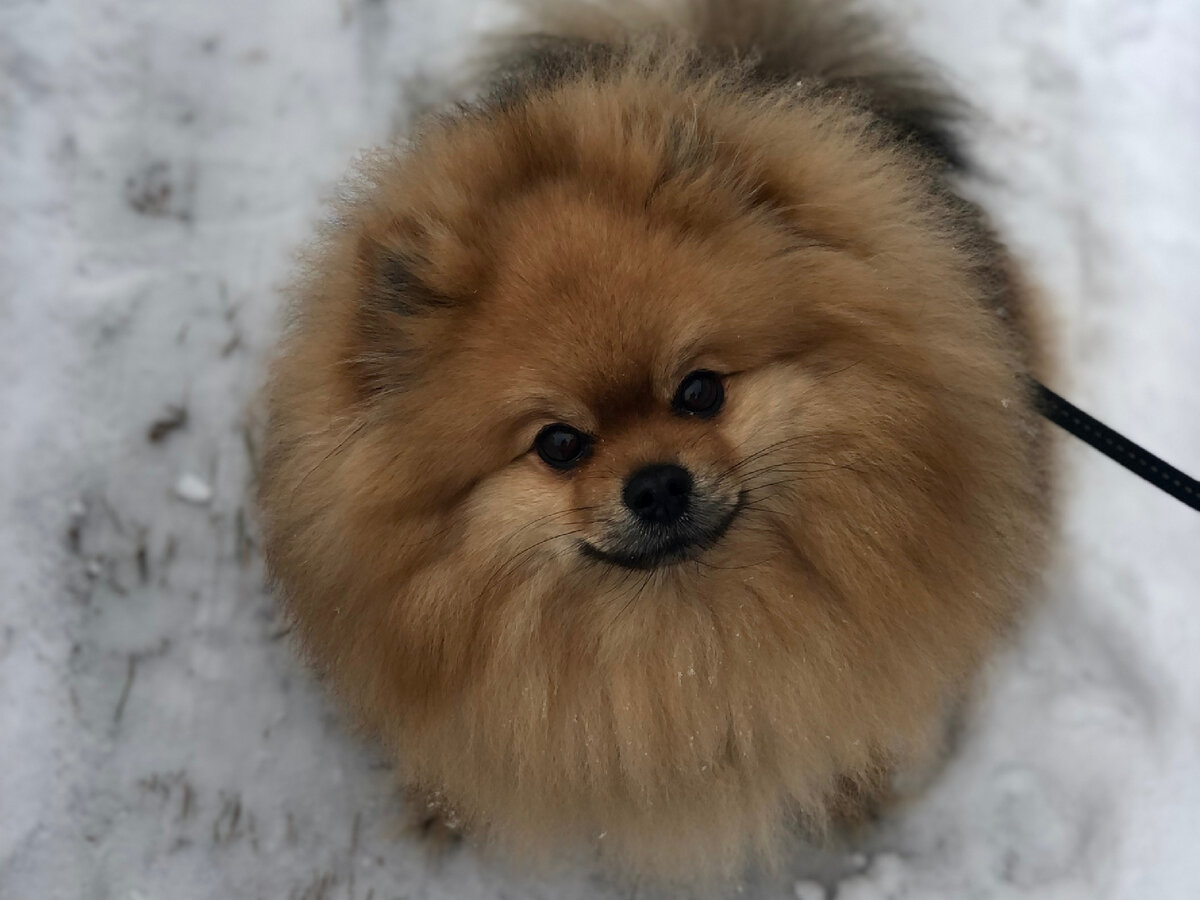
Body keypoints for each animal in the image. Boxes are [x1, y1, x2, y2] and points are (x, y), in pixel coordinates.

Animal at [260, 0, 1051, 888]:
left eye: (700, 391)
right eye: (560, 443)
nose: (658, 483)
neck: (679, 637)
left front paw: (857, 794)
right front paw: (442, 808)